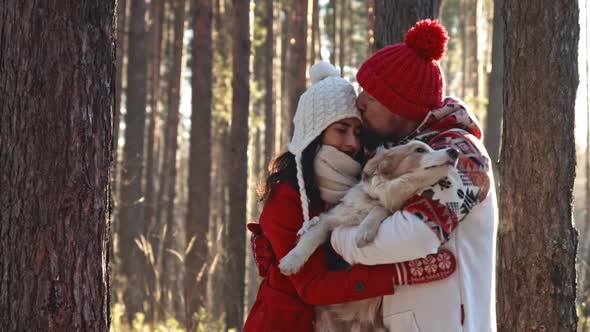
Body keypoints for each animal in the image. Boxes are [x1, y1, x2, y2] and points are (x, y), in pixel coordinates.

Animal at [280, 141, 460, 332]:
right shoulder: (329, 220)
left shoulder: (388, 209)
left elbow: (379, 209)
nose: (455, 151)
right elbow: (309, 238)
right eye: (419, 150)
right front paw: (290, 262)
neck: (381, 194)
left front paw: (364, 231)